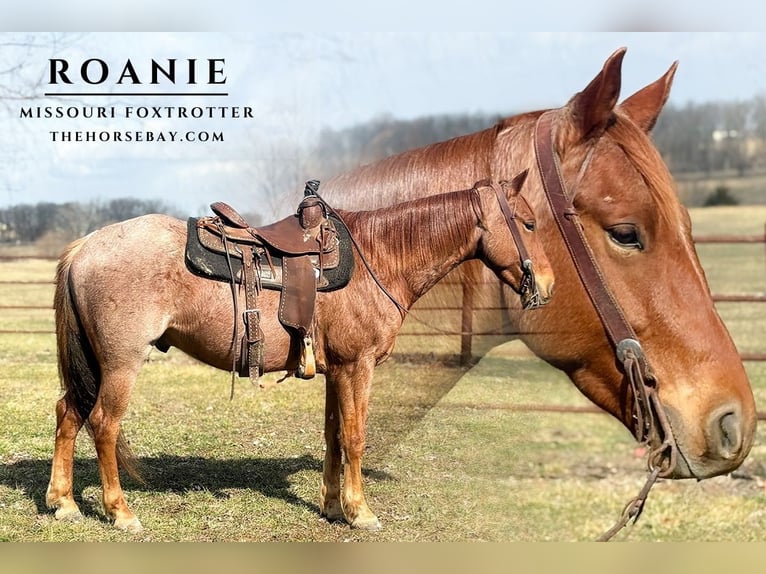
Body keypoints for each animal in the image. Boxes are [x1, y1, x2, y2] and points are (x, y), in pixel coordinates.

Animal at [45, 172, 555, 532]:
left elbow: (332, 435)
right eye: (529, 223)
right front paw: (361, 511)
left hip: (94, 364)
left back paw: (64, 502)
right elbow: (354, 437)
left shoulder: (336, 370)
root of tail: (86, 245)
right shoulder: (357, 367)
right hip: (121, 363)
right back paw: (120, 512)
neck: (380, 257)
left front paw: (332, 506)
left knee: (69, 413)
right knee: (103, 424)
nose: (548, 286)